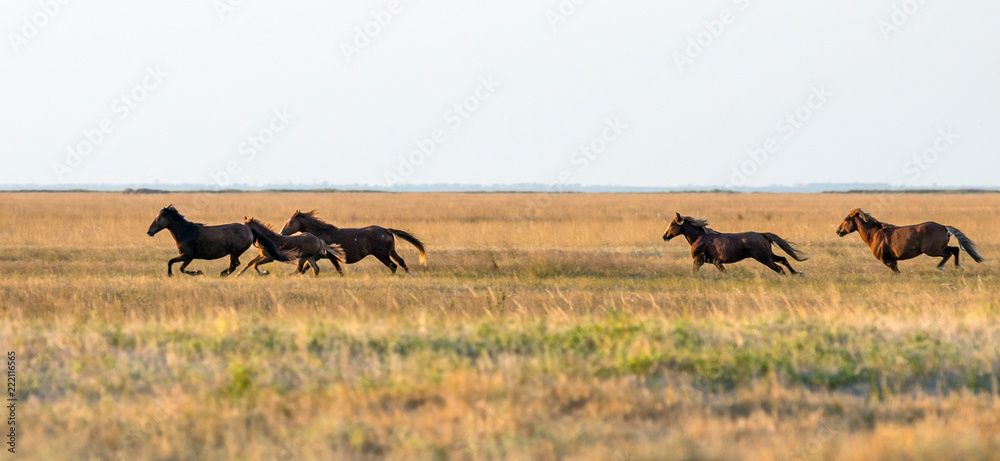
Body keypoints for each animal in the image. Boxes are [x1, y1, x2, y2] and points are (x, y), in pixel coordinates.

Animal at [146, 205, 290, 277]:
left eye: (159, 219)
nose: (149, 232)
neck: (186, 232)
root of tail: (249, 229)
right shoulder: (188, 257)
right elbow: (181, 268)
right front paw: (197, 272)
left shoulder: (187, 255)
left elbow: (171, 262)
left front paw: (171, 274)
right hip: (234, 253)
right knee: (235, 264)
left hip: (235, 252)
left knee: (235, 264)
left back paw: (223, 273)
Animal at [279, 210, 426, 275]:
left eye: (290, 222)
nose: (281, 233)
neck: (322, 234)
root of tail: (386, 230)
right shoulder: (319, 257)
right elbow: (306, 268)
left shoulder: (328, 256)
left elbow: (338, 270)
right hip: (391, 251)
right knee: (401, 262)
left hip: (382, 254)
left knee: (393, 266)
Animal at [662, 213, 808, 275]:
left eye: (672, 224)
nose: (664, 236)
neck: (699, 237)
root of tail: (762, 234)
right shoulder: (716, 262)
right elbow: (725, 273)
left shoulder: (698, 259)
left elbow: (694, 272)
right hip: (769, 255)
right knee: (783, 259)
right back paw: (797, 273)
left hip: (764, 258)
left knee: (779, 269)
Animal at [836, 208, 984, 273]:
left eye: (846, 219)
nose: (838, 231)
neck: (875, 234)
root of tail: (944, 227)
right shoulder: (892, 260)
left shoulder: (887, 260)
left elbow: (896, 272)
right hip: (939, 247)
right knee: (955, 249)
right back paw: (958, 266)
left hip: (932, 250)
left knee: (948, 253)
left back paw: (941, 267)